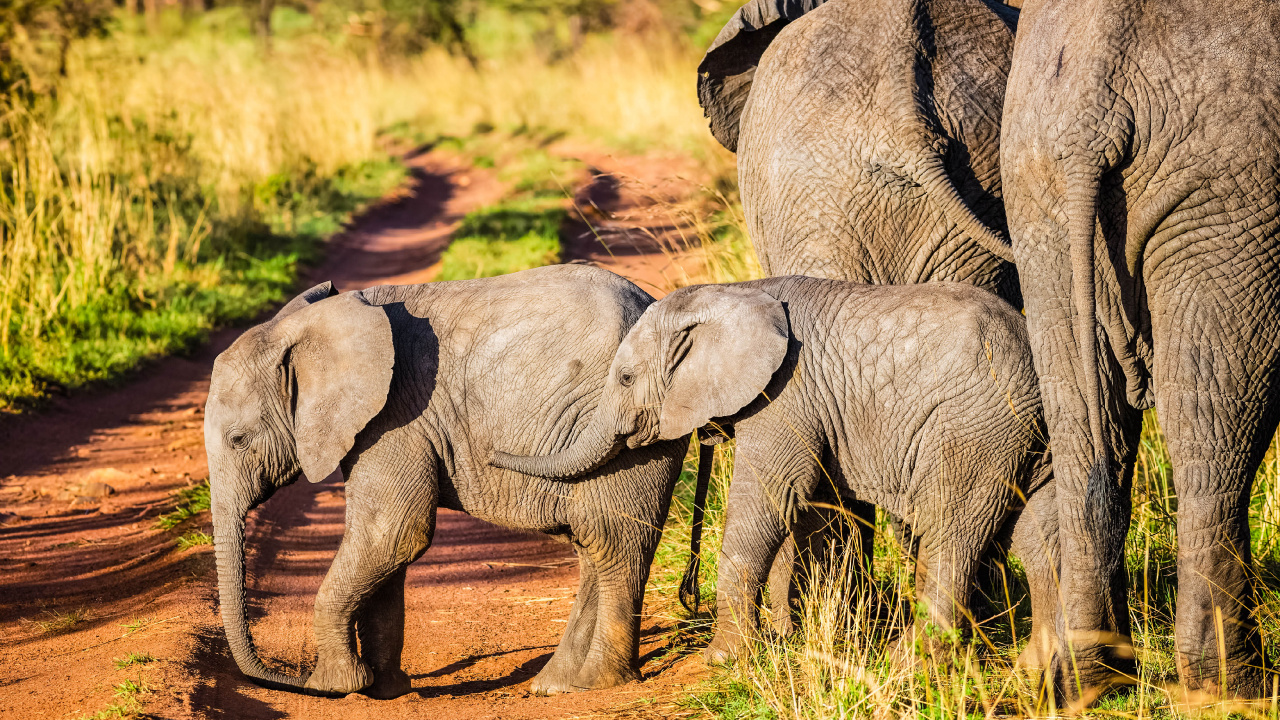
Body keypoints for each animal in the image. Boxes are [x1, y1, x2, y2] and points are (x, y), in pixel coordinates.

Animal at [204, 264, 691, 699]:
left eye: (238, 439)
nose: (288, 678)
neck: (313, 326)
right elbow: (387, 547)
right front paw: (383, 690)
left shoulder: (395, 418)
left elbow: (393, 533)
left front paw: (335, 685)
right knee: (596, 547)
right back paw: (557, 684)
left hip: (630, 426)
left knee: (612, 543)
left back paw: (597, 683)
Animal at [491, 277, 1061, 665]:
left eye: (627, 378)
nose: (495, 453)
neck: (736, 294)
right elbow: (808, 507)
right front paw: (791, 637)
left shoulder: (786, 393)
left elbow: (770, 498)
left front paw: (723, 659)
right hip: (1027, 437)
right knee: (1039, 532)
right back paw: (1042, 669)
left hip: (976, 426)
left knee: (952, 530)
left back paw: (909, 663)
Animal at [1001, 0, 1280, 699]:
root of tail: (1093, 111)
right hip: (1231, 195)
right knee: (1213, 432)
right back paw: (1233, 687)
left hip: (1036, 186)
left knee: (1085, 424)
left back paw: (1090, 678)